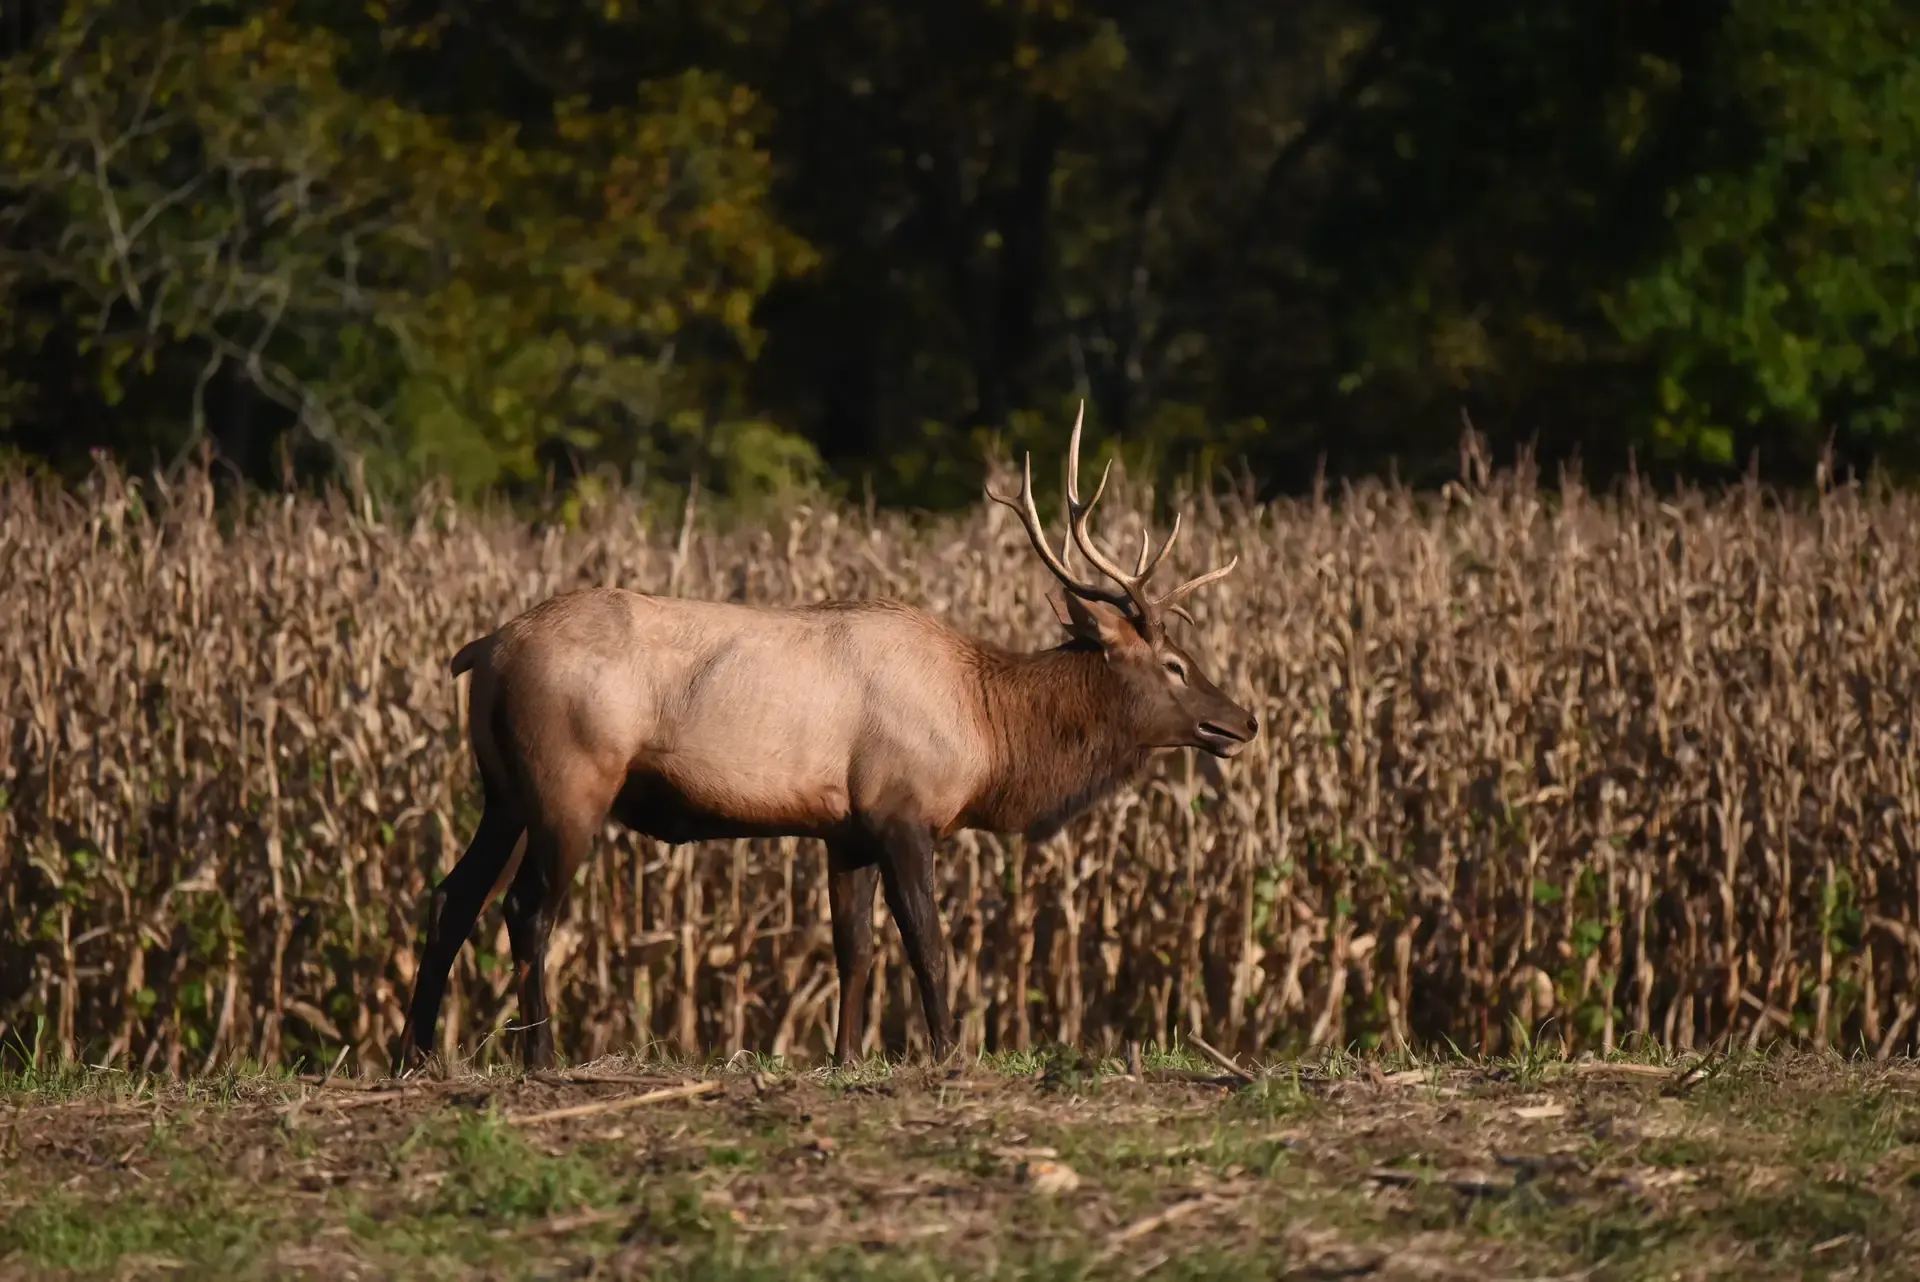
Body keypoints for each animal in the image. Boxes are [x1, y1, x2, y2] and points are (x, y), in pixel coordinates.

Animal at [392, 403, 1258, 1073]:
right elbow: (927, 944)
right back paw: (538, 1055)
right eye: (1175, 664)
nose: (1243, 719)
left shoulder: (846, 829)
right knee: (527, 908)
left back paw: (416, 1055)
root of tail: (484, 651)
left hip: (501, 791)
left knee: (451, 896)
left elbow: (855, 949)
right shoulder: (902, 810)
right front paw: (949, 1053)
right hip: (568, 782)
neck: (988, 732)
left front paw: (846, 1058)